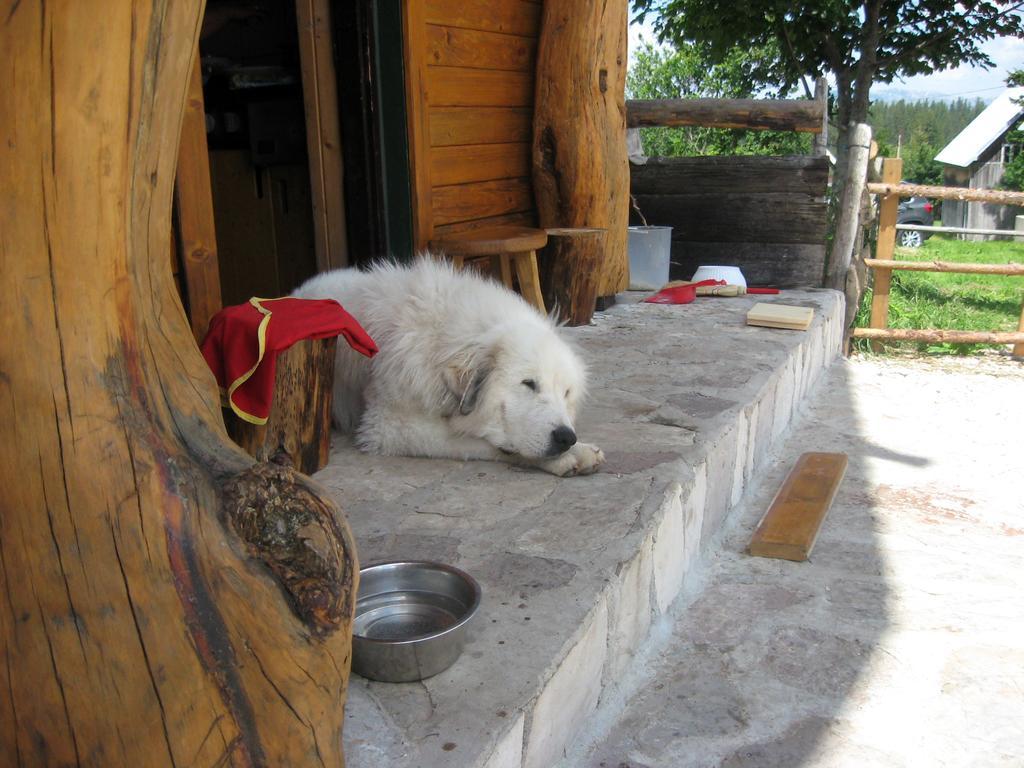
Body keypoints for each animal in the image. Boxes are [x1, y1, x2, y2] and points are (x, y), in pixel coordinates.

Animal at [292, 257, 602, 475]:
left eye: (566, 394)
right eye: (529, 384)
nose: (566, 438)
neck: (439, 337)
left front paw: (577, 448)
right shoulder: (389, 428)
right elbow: (482, 442)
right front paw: (568, 457)